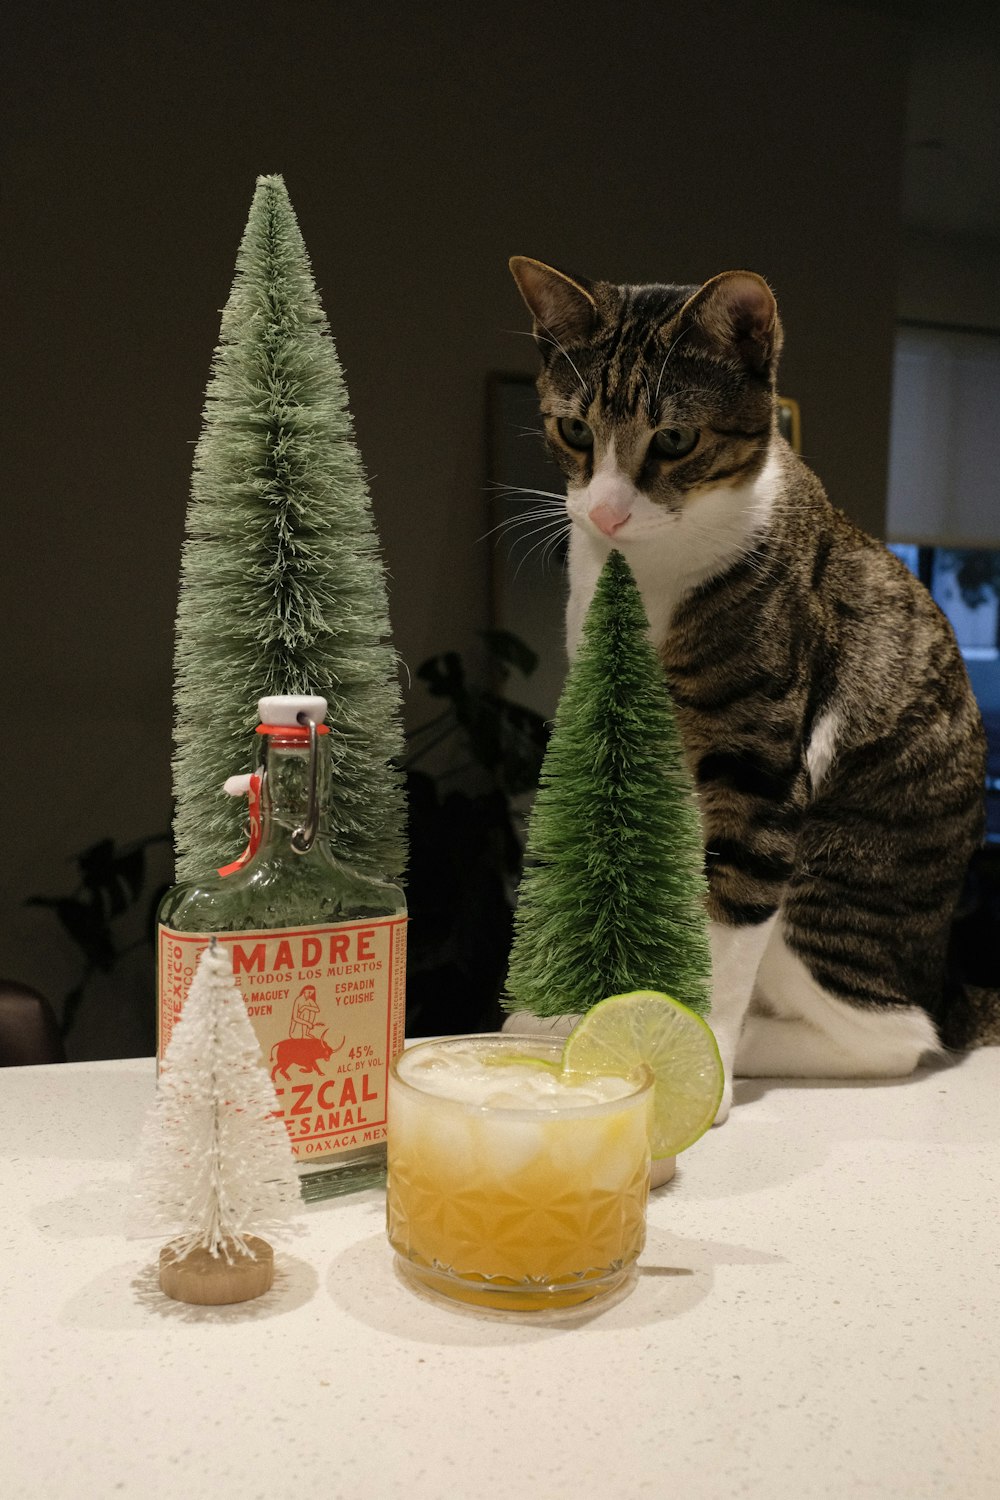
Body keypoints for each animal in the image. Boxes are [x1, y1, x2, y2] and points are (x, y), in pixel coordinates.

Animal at [512, 255, 995, 1116]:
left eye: (675, 438)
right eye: (575, 431)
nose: (605, 514)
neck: (648, 574)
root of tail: (946, 977)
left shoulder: (758, 770)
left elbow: (724, 932)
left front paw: (696, 1064)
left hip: (833, 884)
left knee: (895, 1034)